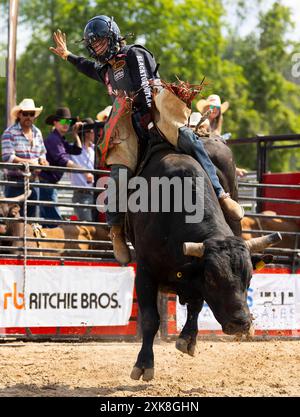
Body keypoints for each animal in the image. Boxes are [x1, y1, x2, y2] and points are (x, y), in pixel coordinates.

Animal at [126, 136, 282, 380]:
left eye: (249, 279)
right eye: (212, 279)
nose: (241, 322)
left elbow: (196, 306)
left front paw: (187, 339)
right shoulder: (144, 271)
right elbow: (151, 318)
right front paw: (144, 364)